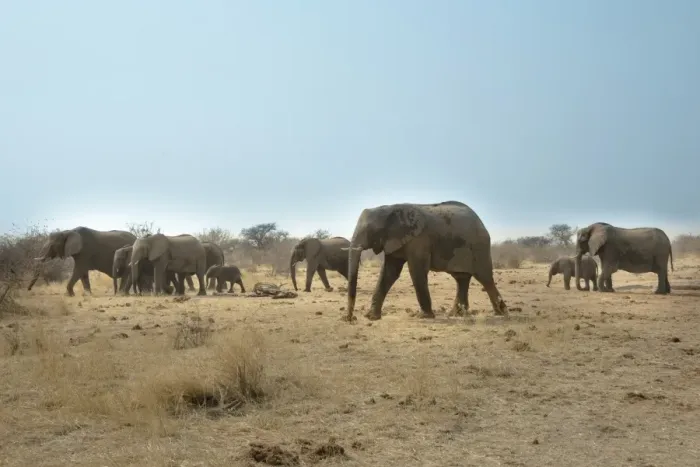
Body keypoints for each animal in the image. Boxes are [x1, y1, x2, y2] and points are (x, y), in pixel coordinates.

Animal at [343, 200, 509, 322]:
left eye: (370, 230)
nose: (350, 318)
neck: (390, 208)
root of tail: (480, 221)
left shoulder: (419, 240)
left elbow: (416, 270)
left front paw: (424, 317)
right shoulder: (395, 240)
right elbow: (389, 273)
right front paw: (372, 317)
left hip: (479, 247)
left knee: (484, 277)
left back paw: (501, 313)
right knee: (461, 278)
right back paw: (456, 314)